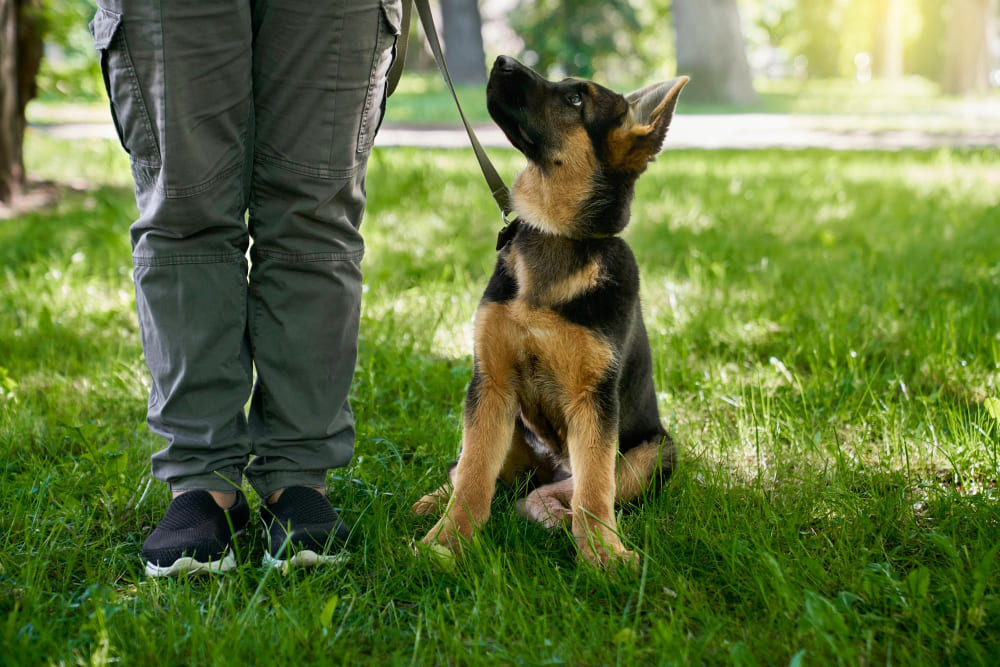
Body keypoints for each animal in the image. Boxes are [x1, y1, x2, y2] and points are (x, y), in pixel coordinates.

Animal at [414, 56, 688, 568]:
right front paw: (447, 542)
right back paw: (436, 501)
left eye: (576, 99)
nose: (502, 60)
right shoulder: (491, 383)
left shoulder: (593, 401)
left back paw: (553, 514)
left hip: (654, 451)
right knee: (473, 472)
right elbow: (474, 474)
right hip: (510, 428)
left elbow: (595, 490)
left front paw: (602, 555)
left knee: (566, 490)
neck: (556, 234)